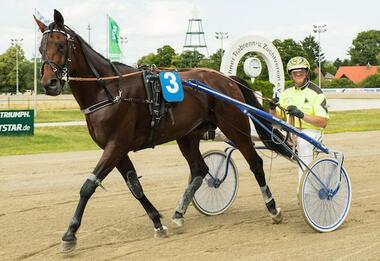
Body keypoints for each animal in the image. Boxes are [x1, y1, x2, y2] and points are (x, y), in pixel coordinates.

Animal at [34, 10, 292, 252]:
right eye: (40, 48)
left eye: (60, 44)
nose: (49, 84)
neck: (109, 91)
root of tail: (227, 78)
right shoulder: (117, 149)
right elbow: (134, 186)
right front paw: (158, 222)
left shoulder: (116, 145)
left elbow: (88, 186)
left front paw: (69, 234)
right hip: (188, 135)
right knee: (200, 169)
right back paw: (179, 213)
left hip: (234, 127)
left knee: (255, 163)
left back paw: (272, 208)